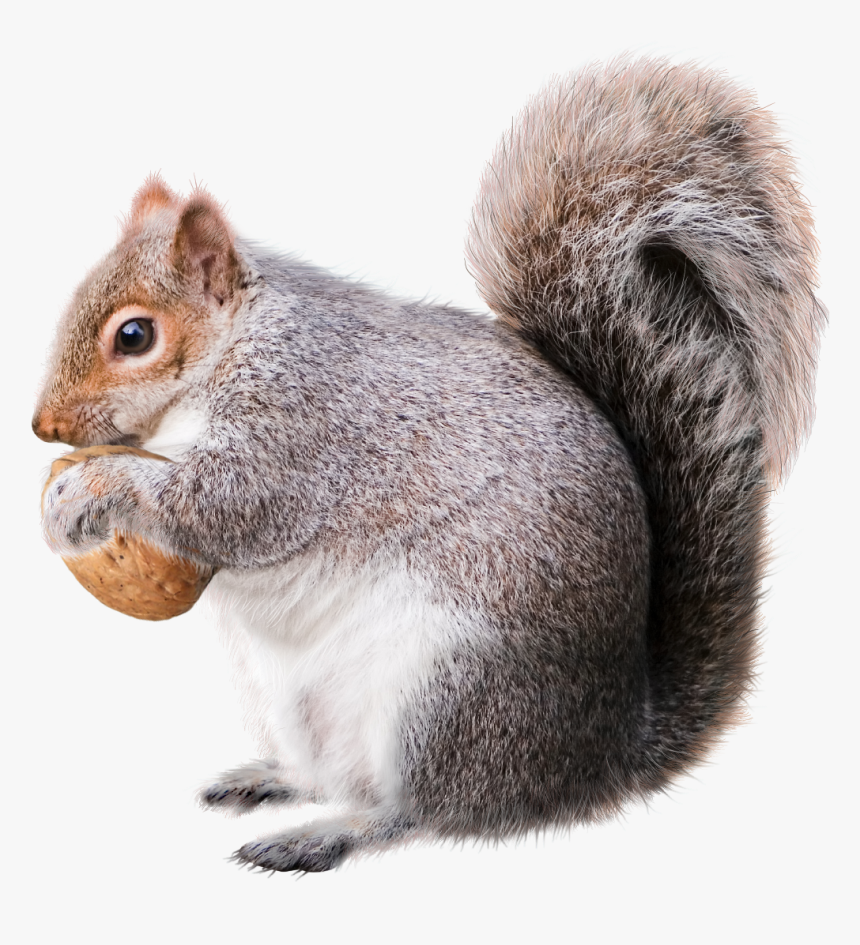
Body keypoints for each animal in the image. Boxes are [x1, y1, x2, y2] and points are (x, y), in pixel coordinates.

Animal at [33, 57, 824, 872]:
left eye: (134, 335)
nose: (43, 426)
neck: (232, 350)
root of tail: (601, 755)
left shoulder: (302, 422)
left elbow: (230, 505)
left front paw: (91, 490)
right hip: (286, 697)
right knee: (333, 775)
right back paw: (273, 780)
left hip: (449, 694)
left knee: (428, 811)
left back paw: (329, 833)